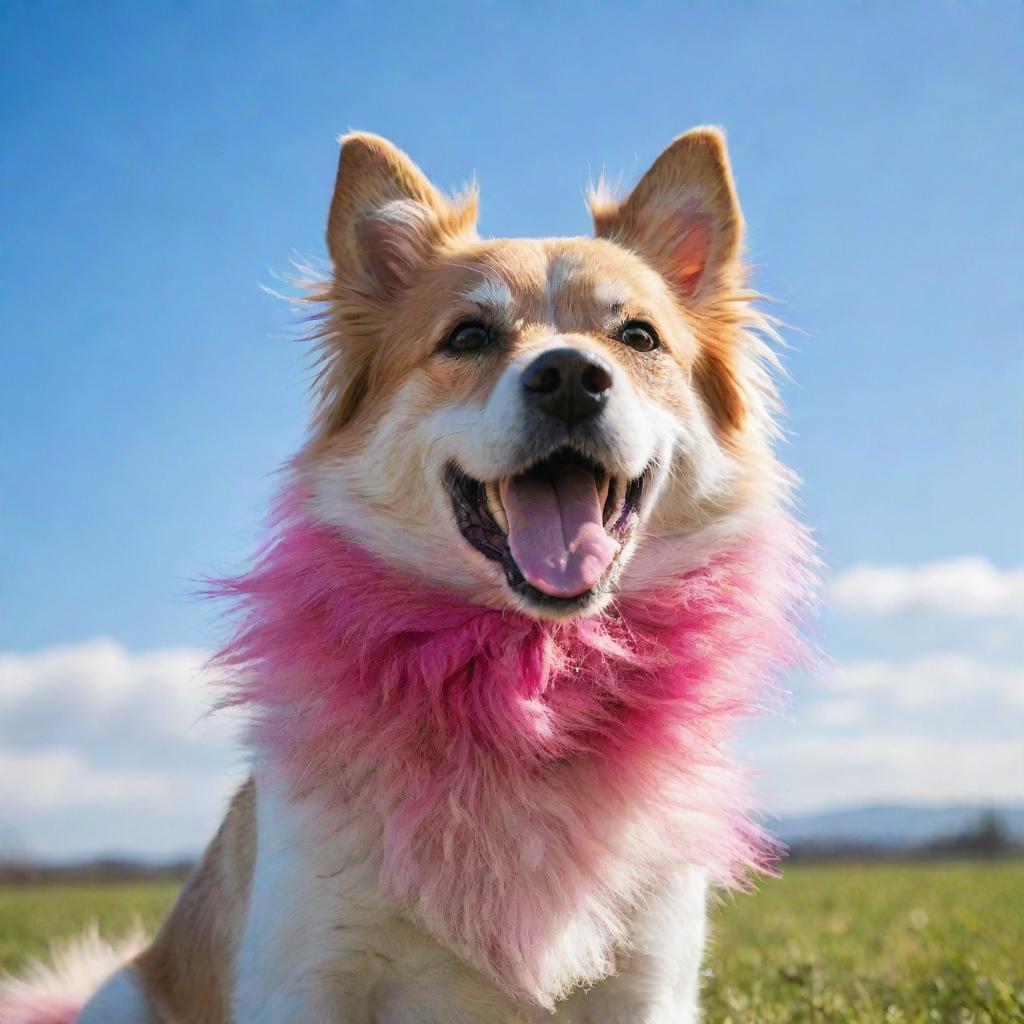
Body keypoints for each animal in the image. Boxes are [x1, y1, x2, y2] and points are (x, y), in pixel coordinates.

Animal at [4, 128, 811, 1024]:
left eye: (637, 337)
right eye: (466, 337)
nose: (570, 376)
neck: (523, 675)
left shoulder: (648, 981)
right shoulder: (309, 971)